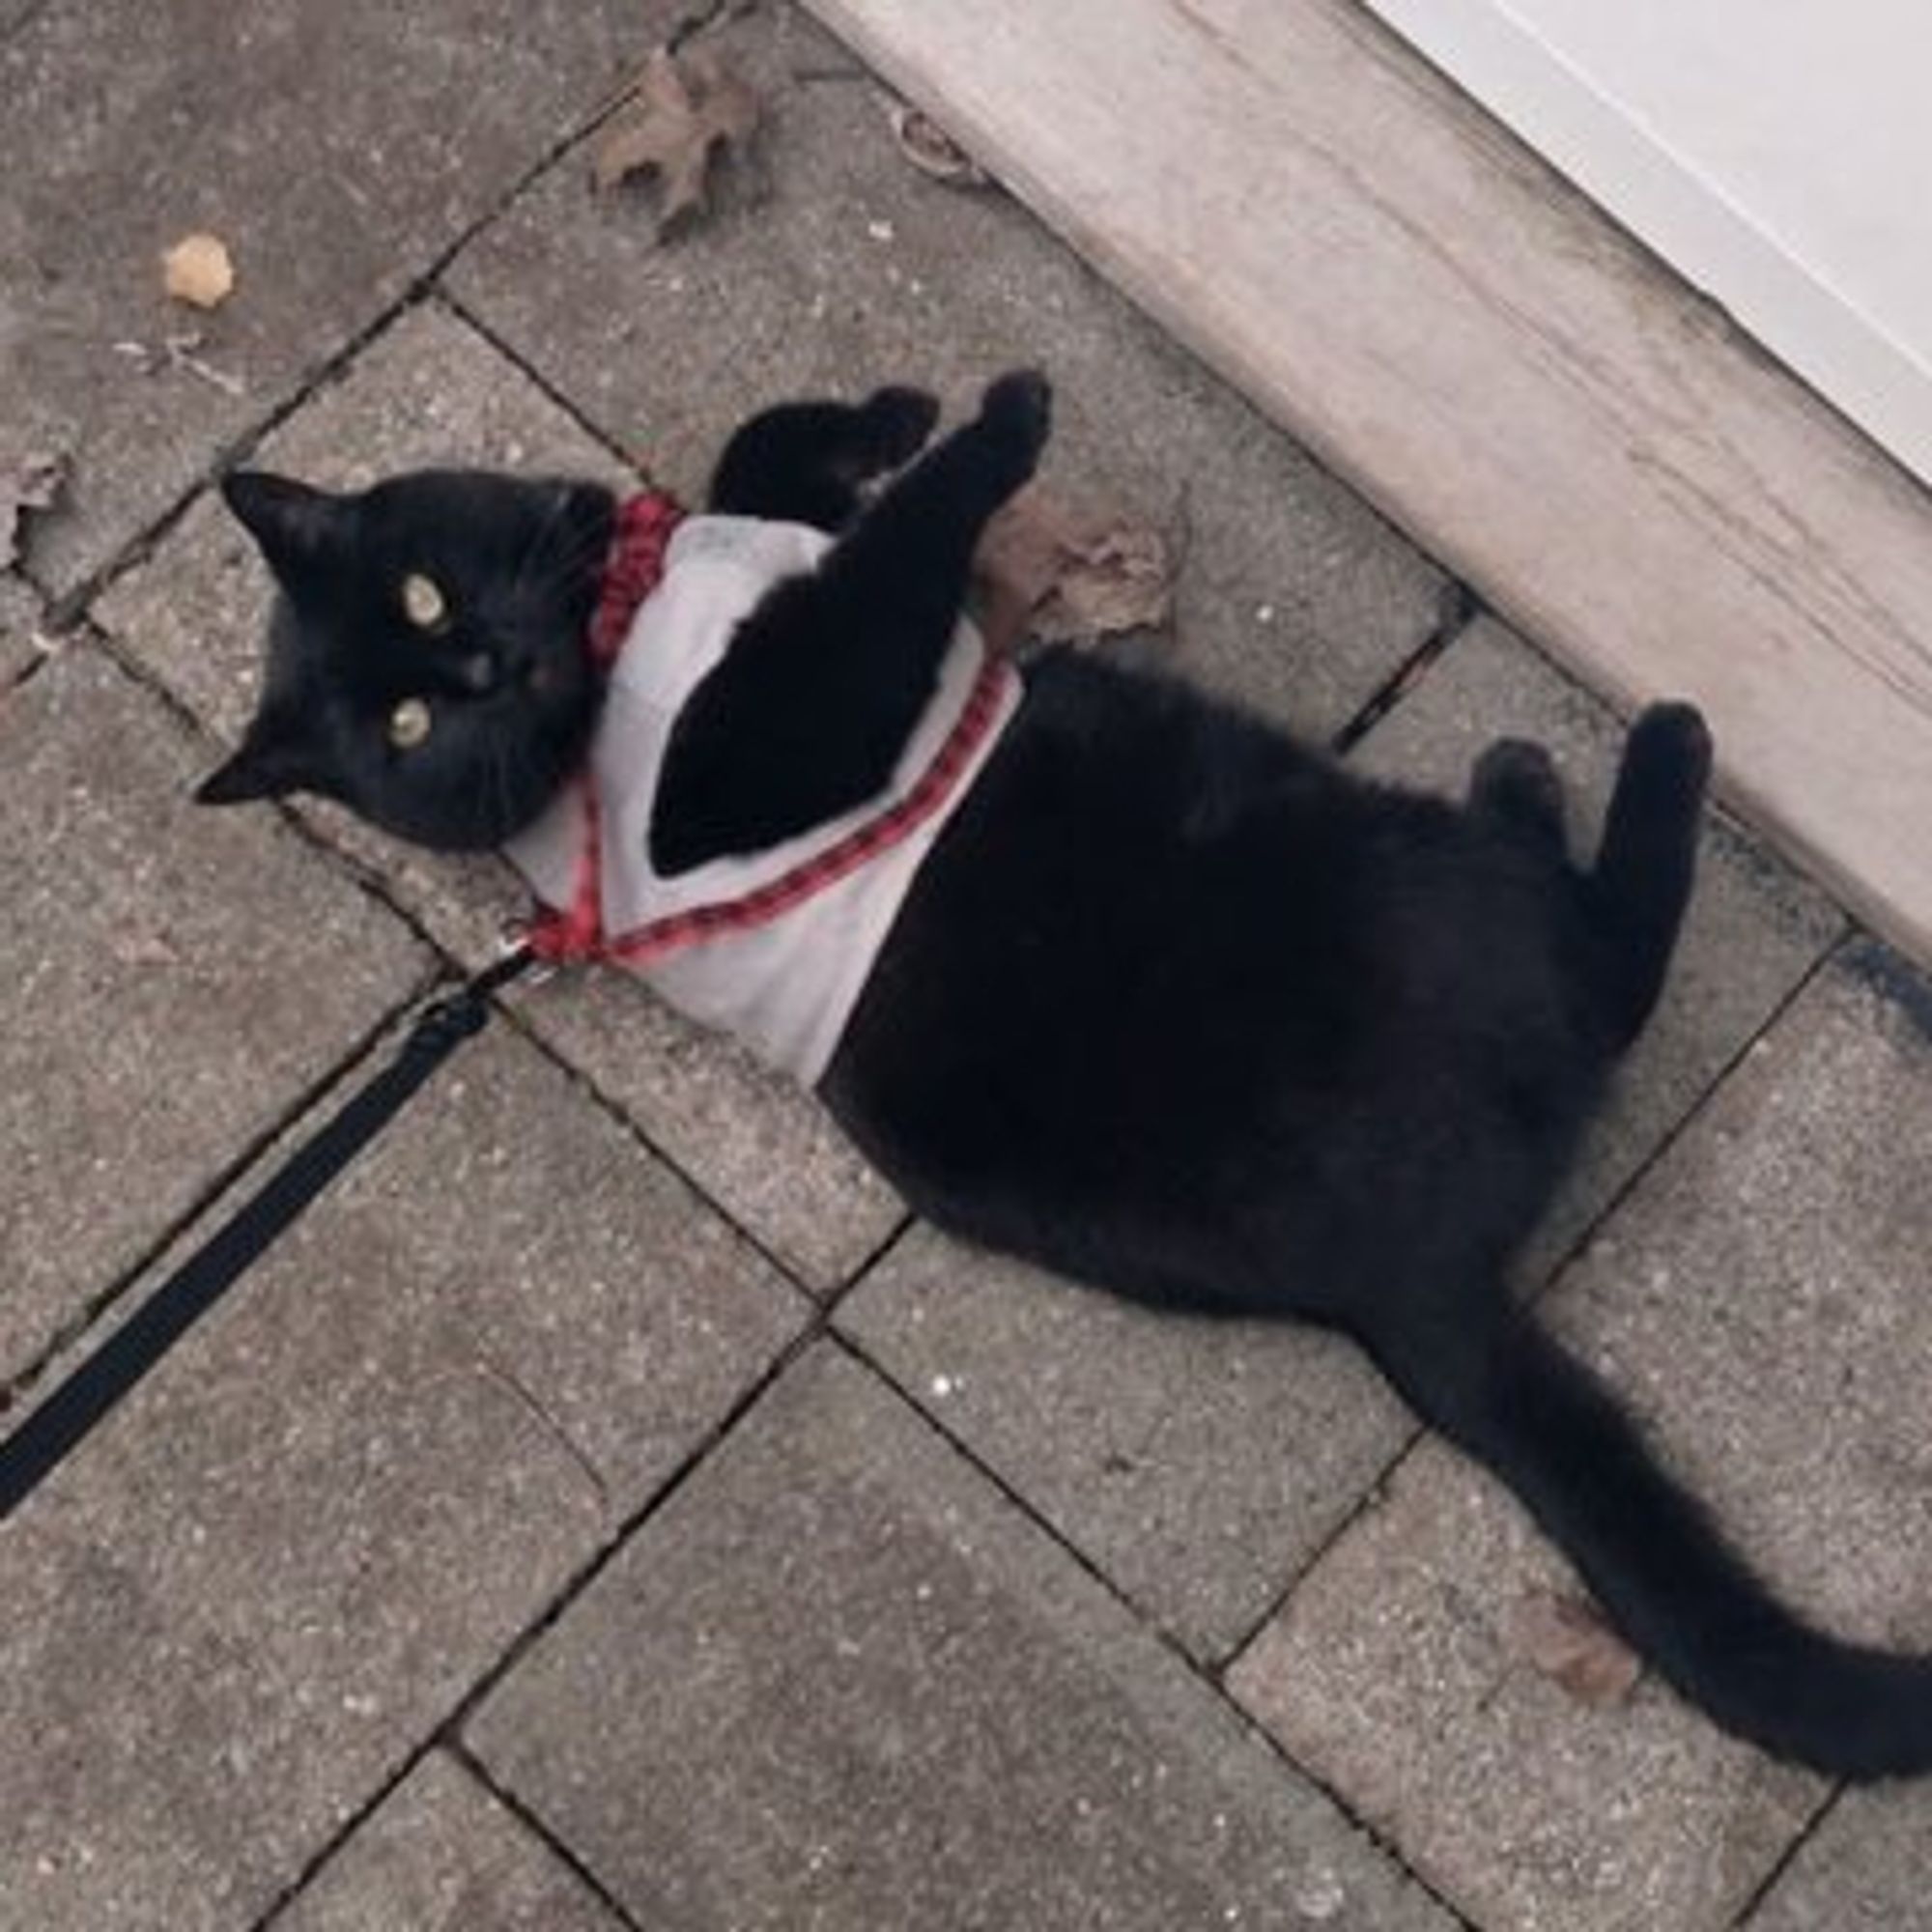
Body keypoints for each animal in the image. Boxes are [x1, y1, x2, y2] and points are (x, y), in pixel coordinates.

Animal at [196, 369, 1932, 1770]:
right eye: (409, 726)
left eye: (423, 609)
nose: (485, 671)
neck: (621, 640)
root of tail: (1418, 1285)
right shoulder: (746, 766)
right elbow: (864, 596)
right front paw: (994, 427)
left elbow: (772, 468)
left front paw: (881, 418)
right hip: (1407, 894)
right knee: (1604, 976)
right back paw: (1623, 762)